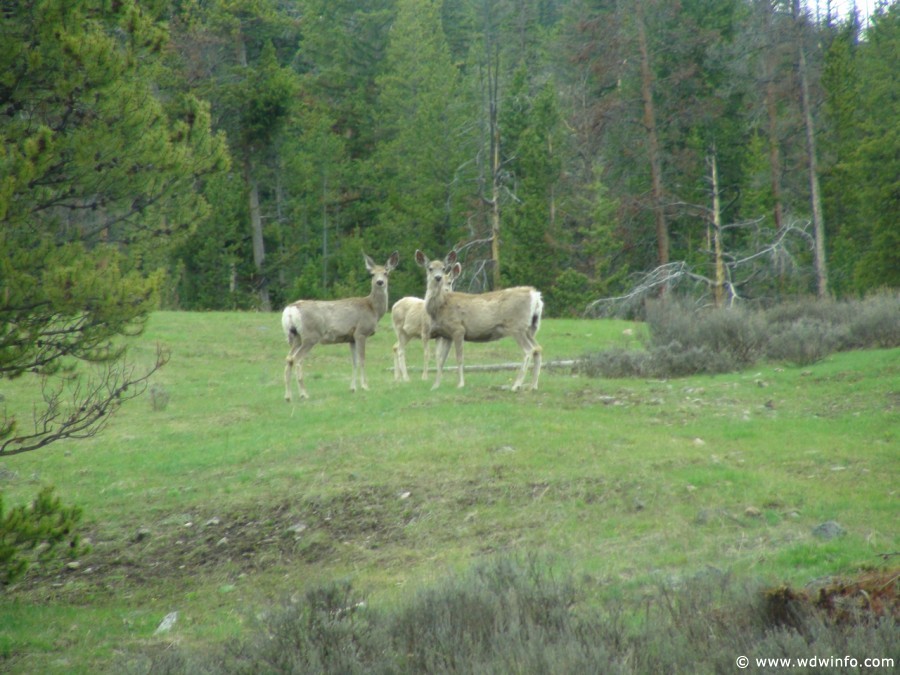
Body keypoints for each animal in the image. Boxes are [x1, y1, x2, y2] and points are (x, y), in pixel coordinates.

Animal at [284, 252, 400, 402]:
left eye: (386, 273)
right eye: (372, 274)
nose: (380, 282)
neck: (373, 309)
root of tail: (290, 310)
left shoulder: (351, 338)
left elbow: (354, 362)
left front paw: (353, 388)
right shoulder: (361, 332)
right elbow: (362, 360)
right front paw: (365, 386)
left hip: (295, 337)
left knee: (288, 359)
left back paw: (288, 396)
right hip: (310, 336)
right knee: (297, 359)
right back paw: (304, 394)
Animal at [414, 251, 540, 394]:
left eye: (443, 268)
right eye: (430, 268)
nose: (438, 277)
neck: (440, 306)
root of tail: (535, 295)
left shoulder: (458, 328)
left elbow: (459, 358)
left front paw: (460, 384)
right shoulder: (446, 334)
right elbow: (440, 360)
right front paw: (435, 386)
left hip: (517, 326)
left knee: (529, 350)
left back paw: (516, 385)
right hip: (531, 328)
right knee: (538, 349)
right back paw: (533, 386)